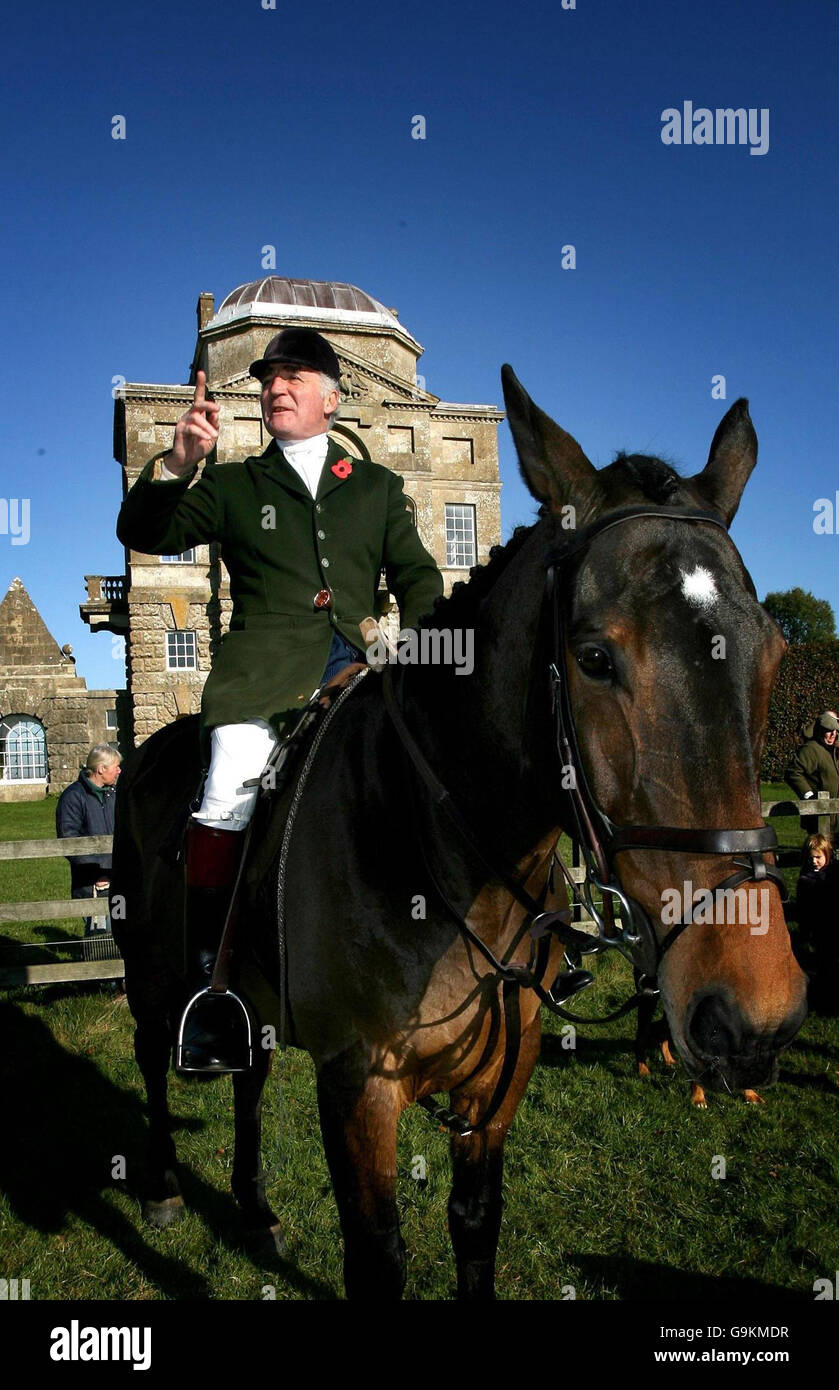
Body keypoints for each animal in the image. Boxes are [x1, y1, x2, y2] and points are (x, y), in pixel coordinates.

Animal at [109, 364, 805, 1295]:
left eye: (772, 652)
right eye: (593, 657)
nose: (753, 1012)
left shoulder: (497, 1086)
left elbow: (476, 1229)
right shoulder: (358, 1089)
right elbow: (377, 1256)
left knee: (248, 1077)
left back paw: (253, 1208)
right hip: (151, 968)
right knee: (154, 1053)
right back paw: (157, 1187)